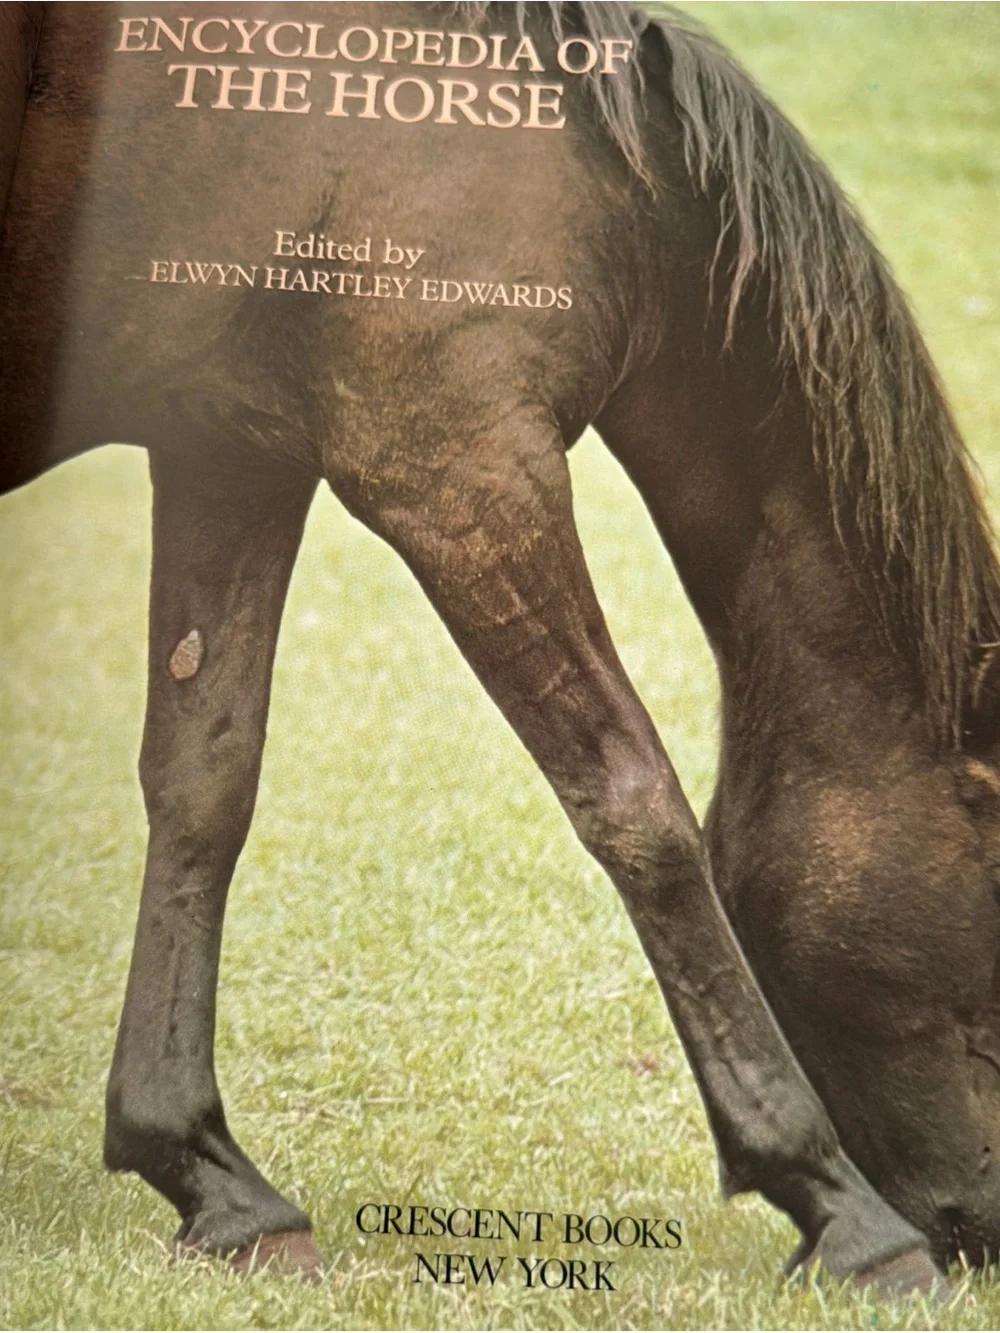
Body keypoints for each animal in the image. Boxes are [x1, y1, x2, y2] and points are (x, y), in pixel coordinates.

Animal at [2, 0, 998, 1297]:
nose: (985, 1229)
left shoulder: (231, 453)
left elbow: (201, 788)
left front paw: (207, 1173)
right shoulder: (458, 463)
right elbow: (636, 806)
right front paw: (835, 1204)